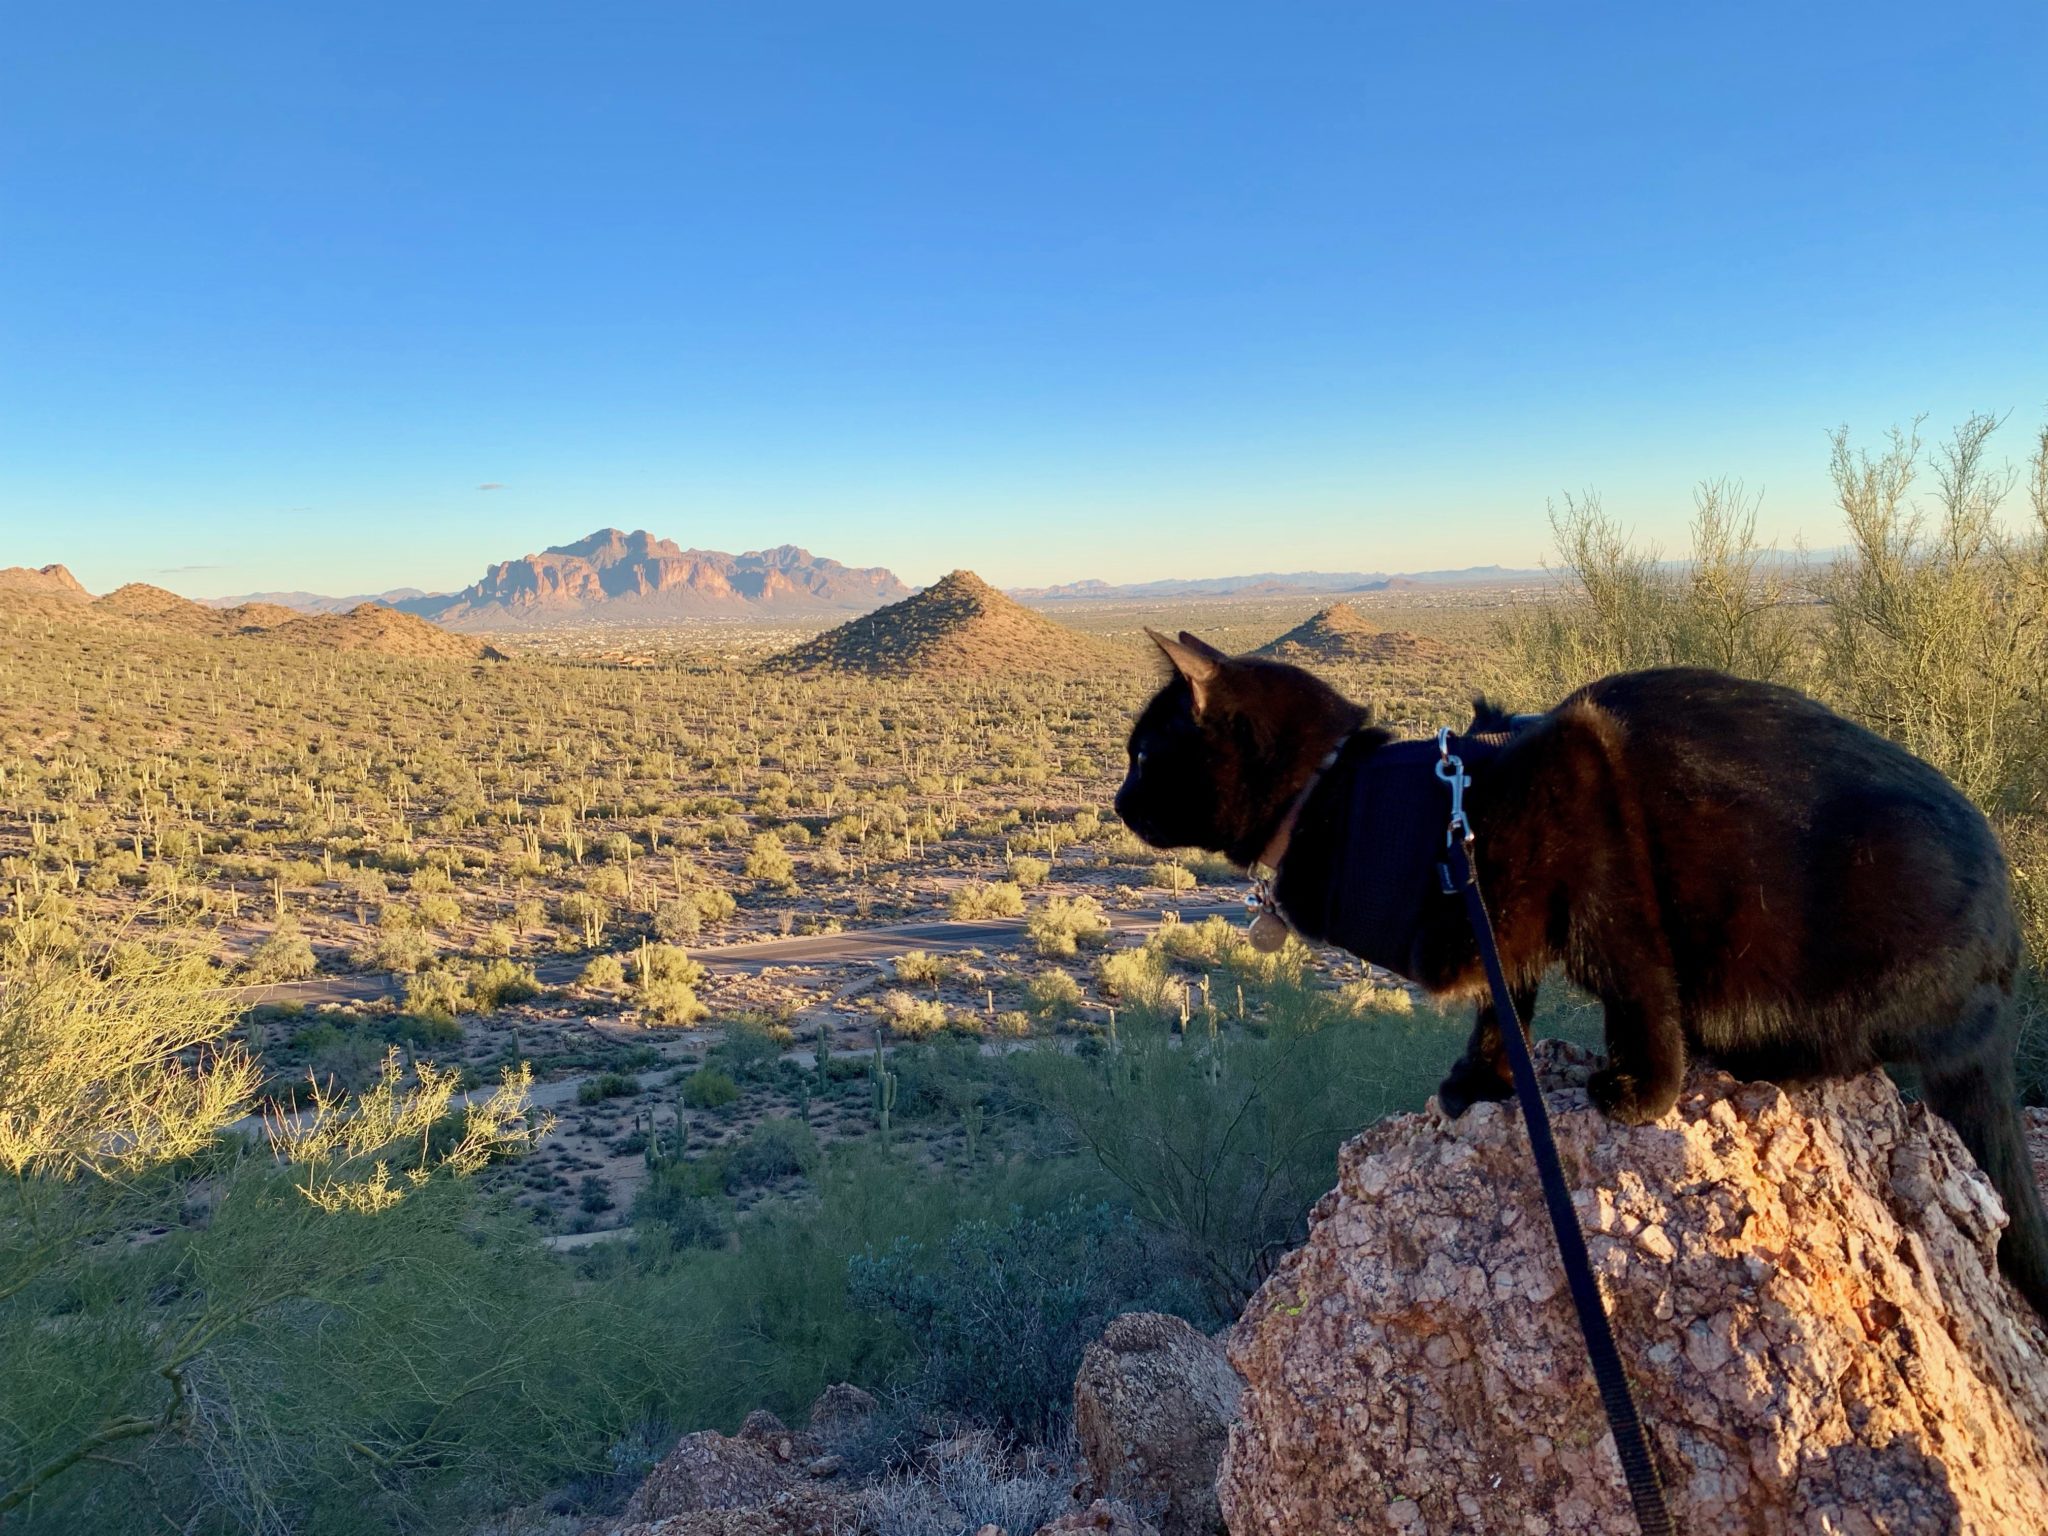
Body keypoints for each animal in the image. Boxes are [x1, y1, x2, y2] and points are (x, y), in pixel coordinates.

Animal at [1122, 630, 2048, 1318]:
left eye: (1141, 755)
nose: (1119, 801)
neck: (1342, 797)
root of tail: (2002, 984)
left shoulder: (1583, 795)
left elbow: (1627, 970)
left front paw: (1645, 1088)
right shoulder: (1490, 904)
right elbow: (1506, 995)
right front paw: (1484, 1078)